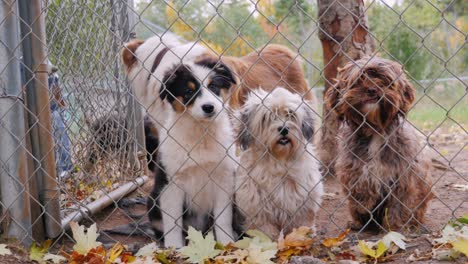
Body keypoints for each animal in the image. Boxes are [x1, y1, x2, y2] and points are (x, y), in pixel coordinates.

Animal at [121, 35, 238, 248]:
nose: (209, 107)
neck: (201, 135)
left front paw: (227, 244)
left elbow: (223, 219)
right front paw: (174, 248)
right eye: (189, 91)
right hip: (153, 202)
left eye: (213, 87)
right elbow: (172, 224)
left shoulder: (223, 179)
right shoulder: (171, 185)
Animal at [233, 87, 322, 238]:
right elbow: (264, 228)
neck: (279, 160)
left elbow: (302, 222)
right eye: (267, 118)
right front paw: (268, 240)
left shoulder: (305, 199)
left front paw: (302, 236)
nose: (284, 129)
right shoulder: (257, 204)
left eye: (290, 114)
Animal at [328, 56, 434, 231]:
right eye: (358, 80)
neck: (375, 130)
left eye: (384, 80)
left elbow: (398, 204)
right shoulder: (352, 169)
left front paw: (393, 226)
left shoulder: (403, 177)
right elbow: (360, 191)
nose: (371, 89)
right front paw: (363, 210)